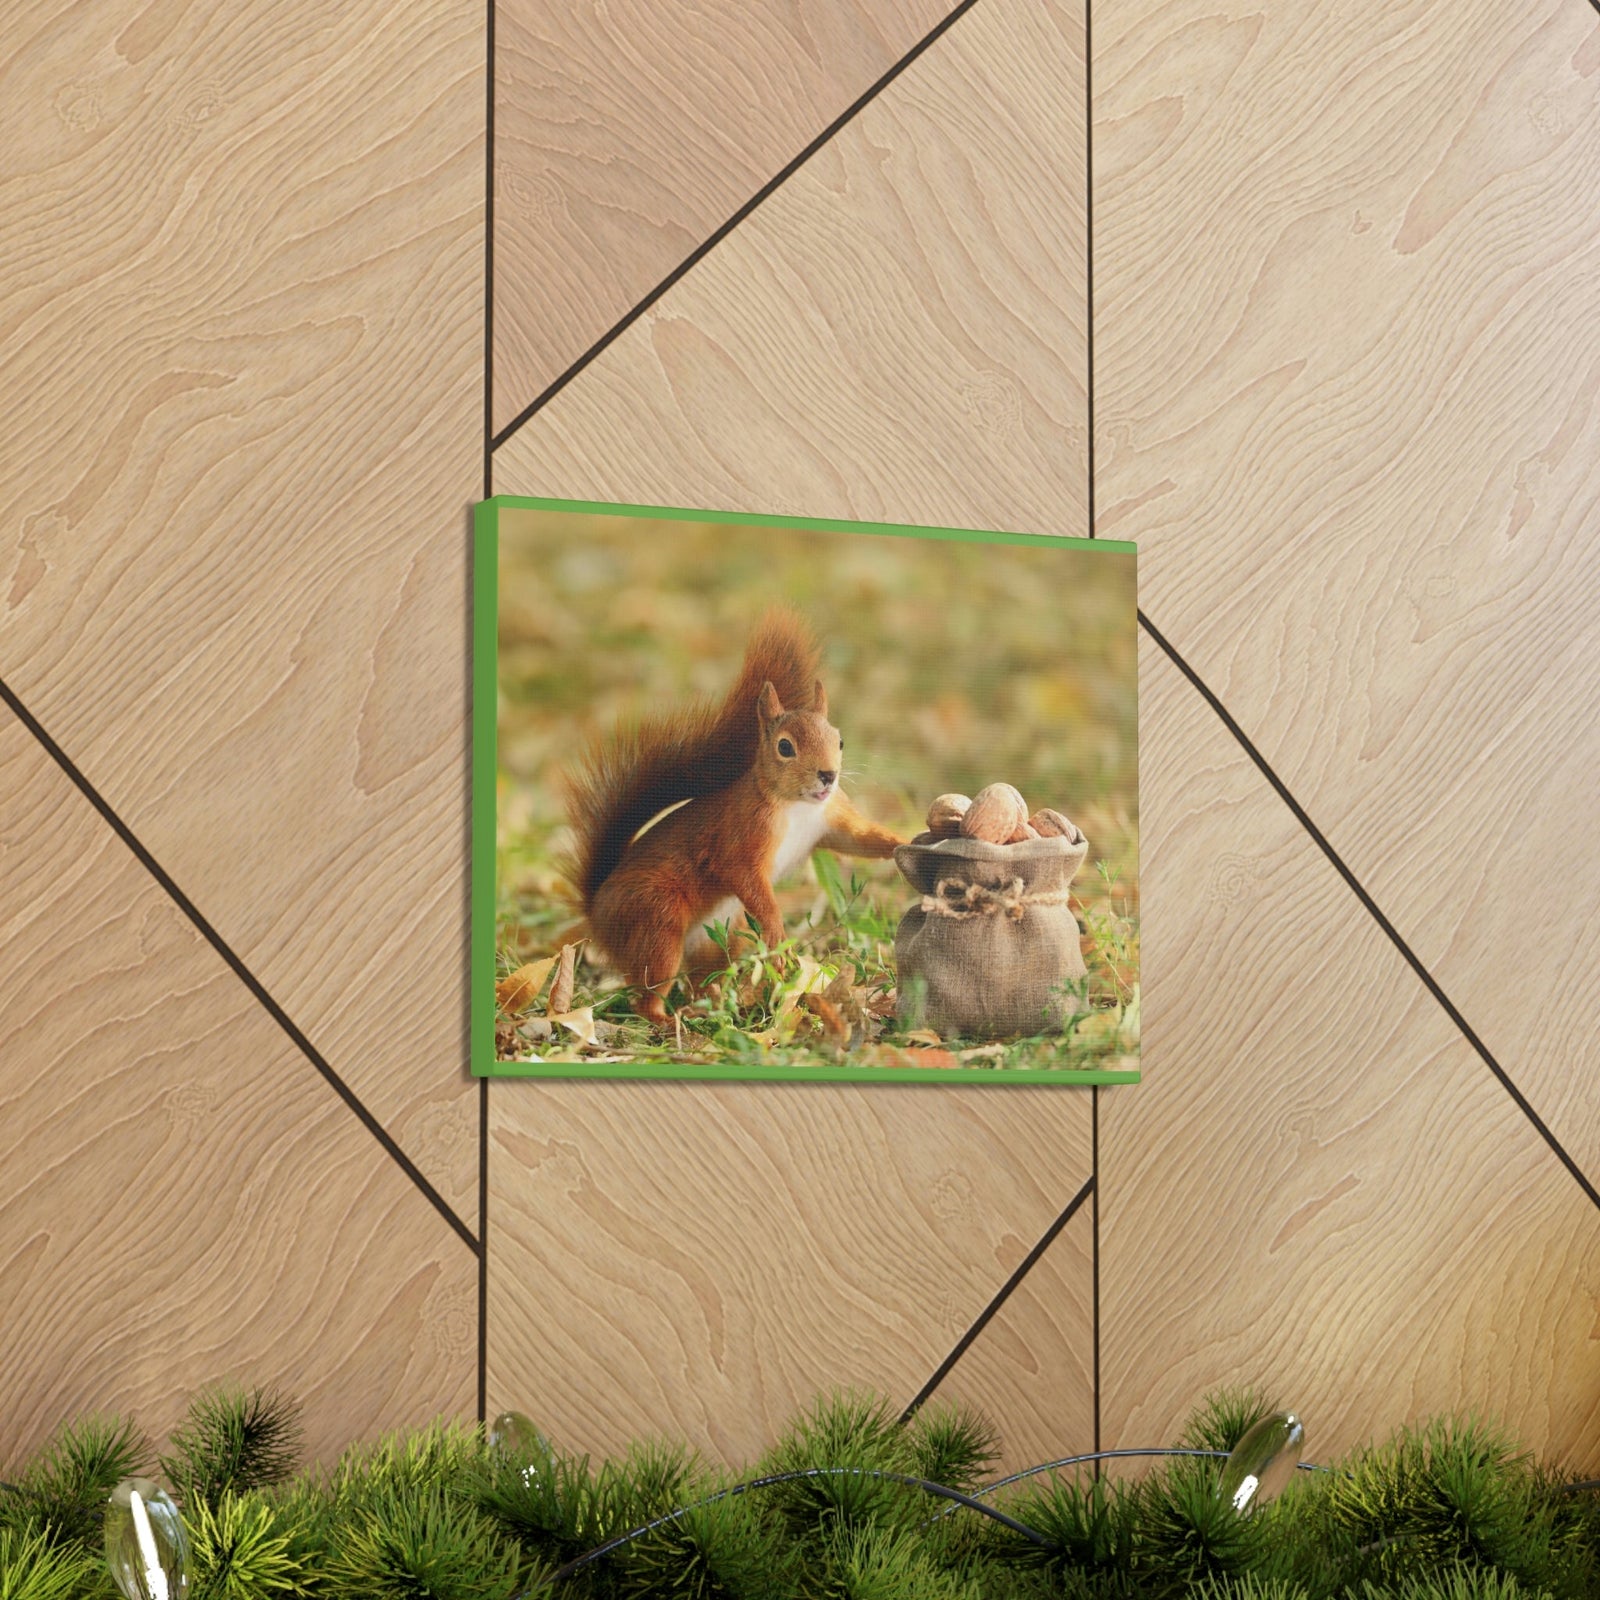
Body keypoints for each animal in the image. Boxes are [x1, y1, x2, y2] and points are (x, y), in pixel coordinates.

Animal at [563, 608, 904, 1025]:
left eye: (838, 740)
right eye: (785, 747)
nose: (828, 775)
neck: (798, 806)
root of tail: (596, 911)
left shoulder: (831, 817)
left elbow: (859, 839)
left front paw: (904, 843)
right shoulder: (741, 835)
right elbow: (746, 878)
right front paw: (778, 939)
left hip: (719, 938)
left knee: (701, 978)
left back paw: (714, 1004)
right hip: (656, 921)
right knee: (647, 991)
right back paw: (666, 1019)